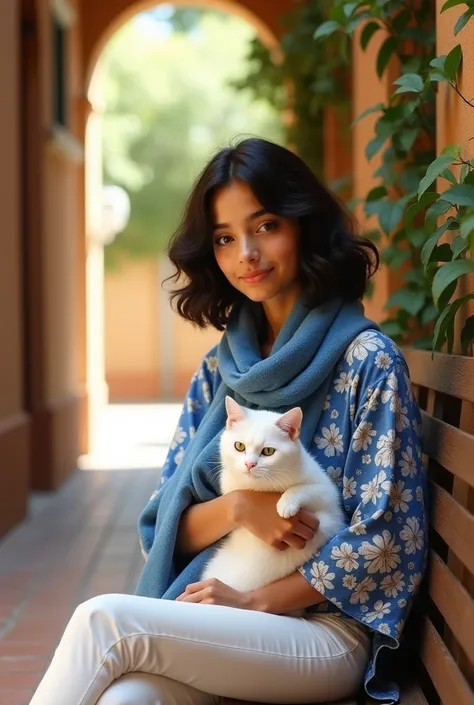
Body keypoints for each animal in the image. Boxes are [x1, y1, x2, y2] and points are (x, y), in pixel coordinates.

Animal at [201, 396, 344, 592]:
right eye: (239, 446)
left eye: (268, 451)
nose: (249, 464)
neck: (263, 486)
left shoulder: (328, 495)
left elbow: (304, 488)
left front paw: (286, 504)